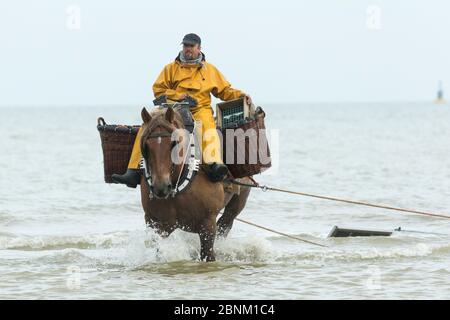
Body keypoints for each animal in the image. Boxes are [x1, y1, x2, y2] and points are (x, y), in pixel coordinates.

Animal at [140, 106, 250, 262]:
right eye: (146, 146)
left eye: (174, 143)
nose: (161, 187)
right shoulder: (156, 225)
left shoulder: (208, 226)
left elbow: (208, 254)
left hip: (238, 201)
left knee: (226, 222)